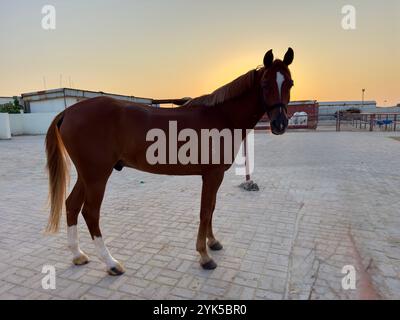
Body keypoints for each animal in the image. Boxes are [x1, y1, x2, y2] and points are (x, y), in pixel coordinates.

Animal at [46, 48, 294, 276]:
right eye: (265, 84)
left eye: (290, 83)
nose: (280, 124)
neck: (221, 116)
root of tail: (68, 111)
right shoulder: (212, 175)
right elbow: (205, 211)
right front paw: (204, 256)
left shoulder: (216, 176)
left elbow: (212, 208)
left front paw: (213, 242)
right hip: (97, 176)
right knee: (90, 213)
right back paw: (111, 263)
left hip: (87, 175)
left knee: (71, 205)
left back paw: (78, 255)